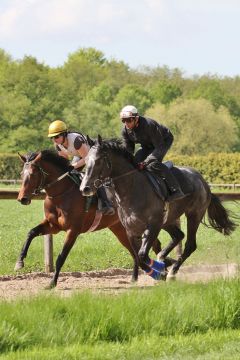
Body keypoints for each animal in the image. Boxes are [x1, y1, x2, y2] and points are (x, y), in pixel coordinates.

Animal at [15, 149, 162, 286]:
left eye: (33, 174)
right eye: (22, 174)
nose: (22, 198)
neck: (61, 194)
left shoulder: (73, 230)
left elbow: (61, 257)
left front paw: (52, 283)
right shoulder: (53, 226)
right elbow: (31, 232)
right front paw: (20, 261)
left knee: (152, 245)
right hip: (120, 229)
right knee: (135, 252)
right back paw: (135, 277)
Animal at [80, 136, 236, 280]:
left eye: (99, 160)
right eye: (86, 160)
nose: (85, 188)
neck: (132, 190)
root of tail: (202, 181)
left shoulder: (153, 226)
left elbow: (142, 255)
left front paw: (161, 271)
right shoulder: (131, 230)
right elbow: (138, 257)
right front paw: (155, 269)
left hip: (193, 215)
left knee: (190, 245)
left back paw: (172, 271)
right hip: (168, 220)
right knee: (178, 235)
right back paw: (164, 259)